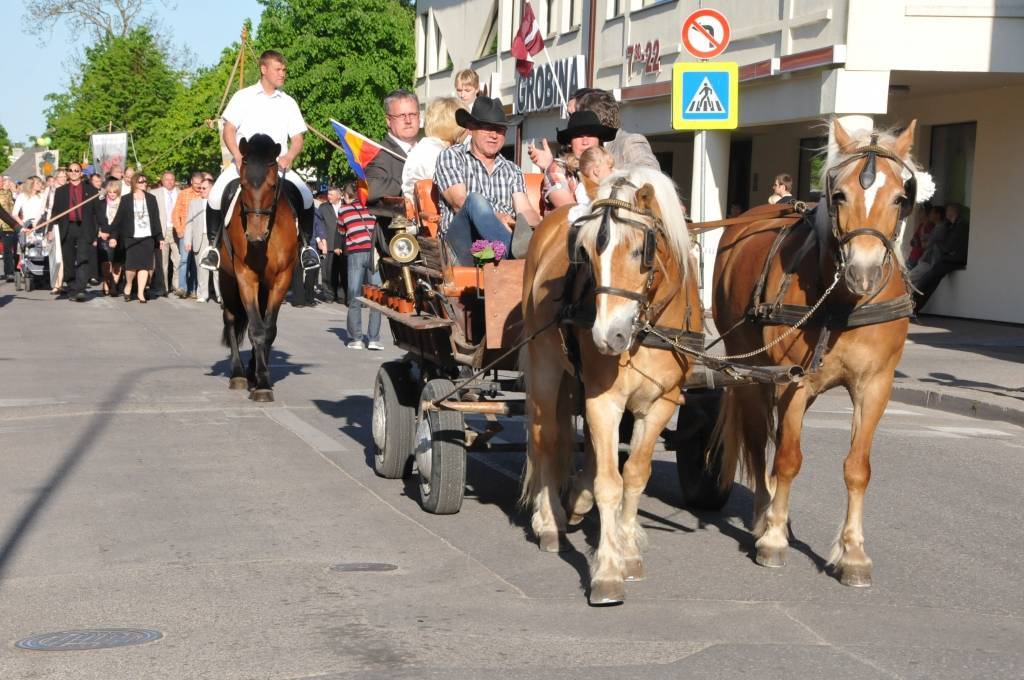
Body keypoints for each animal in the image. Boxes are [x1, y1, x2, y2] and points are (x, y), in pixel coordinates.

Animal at [216, 133, 296, 403]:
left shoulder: (282, 279)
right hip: (227, 280)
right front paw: (260, 382)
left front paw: (260, 378)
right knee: (231, 319)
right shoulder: (245, 277)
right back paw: (239, 374)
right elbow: (256, 328)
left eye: (272, 186)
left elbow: (268, 329)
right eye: (243, 184)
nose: (255, 235)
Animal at [520, 168, 704, 606]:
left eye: (640, 251)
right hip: (544, 365)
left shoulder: (661, 403)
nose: (607, 337)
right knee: (546, 438)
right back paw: (550, 520)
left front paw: (628, 548)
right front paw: (606, 570)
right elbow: (609, 483)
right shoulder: (603, 402)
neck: (647, 330)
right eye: (585, 253)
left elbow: (635, 474)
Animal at [716, 118, 933, 585]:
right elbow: (788, 459)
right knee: (761, 441)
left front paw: (853, 553)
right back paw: (763, 516)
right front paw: (773, 539)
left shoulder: (875, 386)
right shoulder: (792, 382)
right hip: (753, 372)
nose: (863, 271)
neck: (842, 302)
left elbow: (857, 468)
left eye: (900, 197)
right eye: (840, 194)